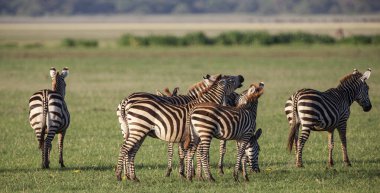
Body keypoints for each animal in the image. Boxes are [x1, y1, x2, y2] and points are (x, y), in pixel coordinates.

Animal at [115, 74, 243, 182]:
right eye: (231, 79)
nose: (242, 77)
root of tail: (126, 100)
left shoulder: (184, 135)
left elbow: (186, 153)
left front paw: (188, 174)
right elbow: (198, 154)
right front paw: (197, 175)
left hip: (134, 131)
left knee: (131, 151)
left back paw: (132, 177)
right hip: (138, 130)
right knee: (124, 148)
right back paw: (119, 176)